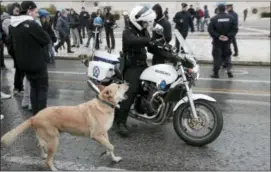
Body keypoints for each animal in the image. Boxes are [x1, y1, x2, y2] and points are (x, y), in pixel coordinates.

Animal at [0, 82, 130, 170]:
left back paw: (43, 155)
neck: (104, 104)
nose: (128, 83)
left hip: (45, 138)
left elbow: (109, 146)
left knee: (40, 145)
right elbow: (111, 146)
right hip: (54, 141)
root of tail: (35, 117)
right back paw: (53, 168)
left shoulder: (104, 133)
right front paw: (109, 153)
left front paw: (113, 157)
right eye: (119, 86)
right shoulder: (96, 135)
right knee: (48, 161)